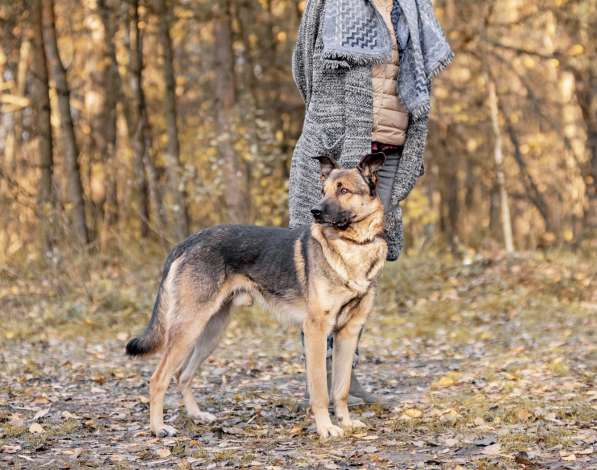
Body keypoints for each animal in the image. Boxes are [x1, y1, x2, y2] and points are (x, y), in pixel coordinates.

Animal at [125, 152, 386, 438]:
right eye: (323, 191)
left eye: (343, 190)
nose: (315, 212)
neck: (354, 245)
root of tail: (188, 241)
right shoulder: (316, 331)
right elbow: (320, 390)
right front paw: (326, 428)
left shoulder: (349, 333)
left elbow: (341, 388)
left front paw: (346, 422)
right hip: (188, 328)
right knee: (157, 379)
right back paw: (158, 428)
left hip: (211, 331)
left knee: (182, 375)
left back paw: (196, 415)